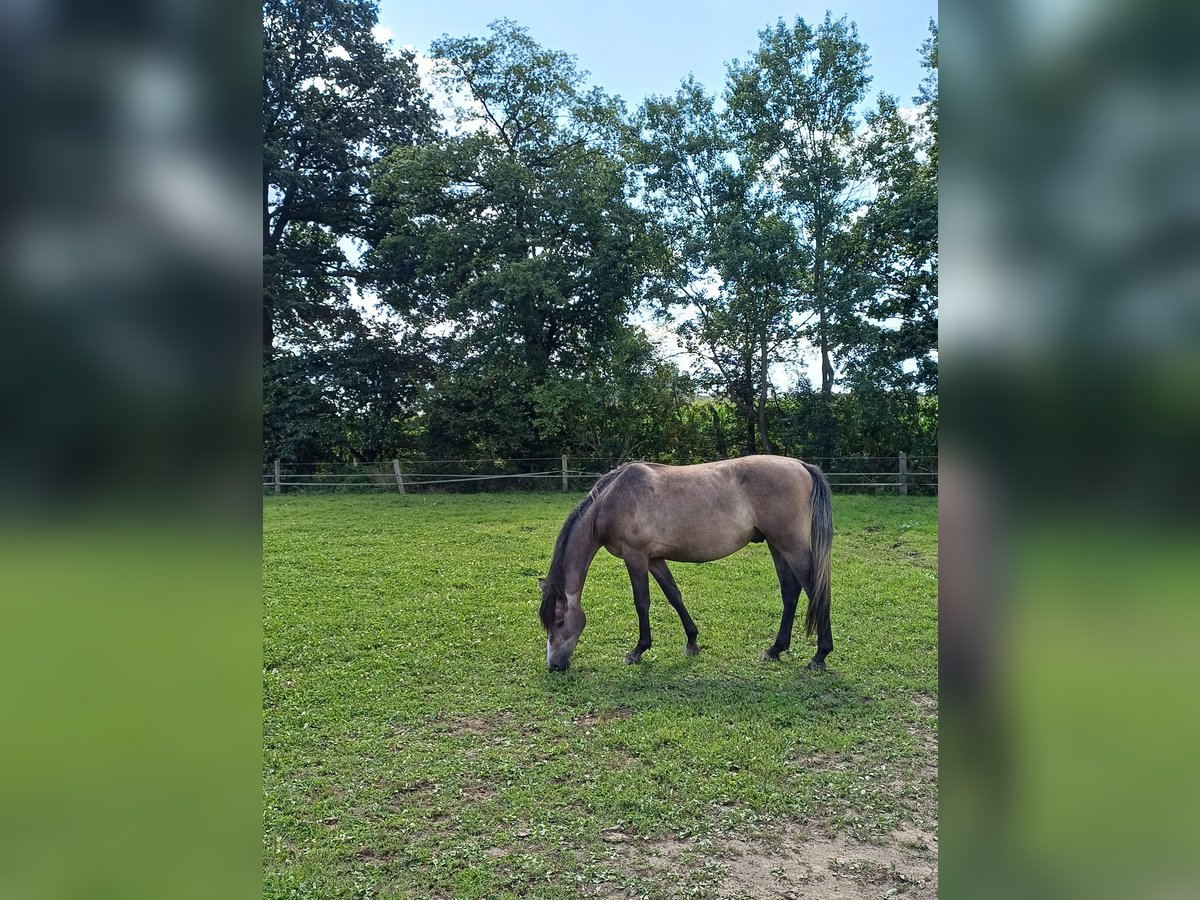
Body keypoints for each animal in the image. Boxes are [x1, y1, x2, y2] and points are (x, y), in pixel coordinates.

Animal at [537, 460, 830, 672]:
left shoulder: (636, 557)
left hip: (790, 546)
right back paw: (775, 649)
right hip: (776, 544)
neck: (612, 500)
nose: (554, 666)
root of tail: (801, 466)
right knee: (790, 591)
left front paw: (638, 651)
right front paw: (692, 642)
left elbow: (642, 602)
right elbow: (674, 596)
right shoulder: (654, 559)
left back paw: (819, 655)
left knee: (815, 590)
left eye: (560, 622)